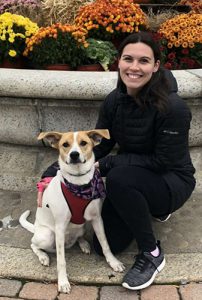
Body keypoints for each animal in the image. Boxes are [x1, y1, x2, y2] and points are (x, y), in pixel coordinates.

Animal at [19, 129, 124, 292]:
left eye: (83, 143)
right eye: (65, 145)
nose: (74, 154)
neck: (79, 183)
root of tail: (35, 227)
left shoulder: (97, 219)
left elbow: (105, 244)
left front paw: (113, 262)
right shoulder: (60, 227)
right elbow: (61, 260)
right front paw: (63, 282)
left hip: (81, 227)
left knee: (78, 237)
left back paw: (84, 244)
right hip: (48, 235)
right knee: (33, 244)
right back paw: (43, 256)